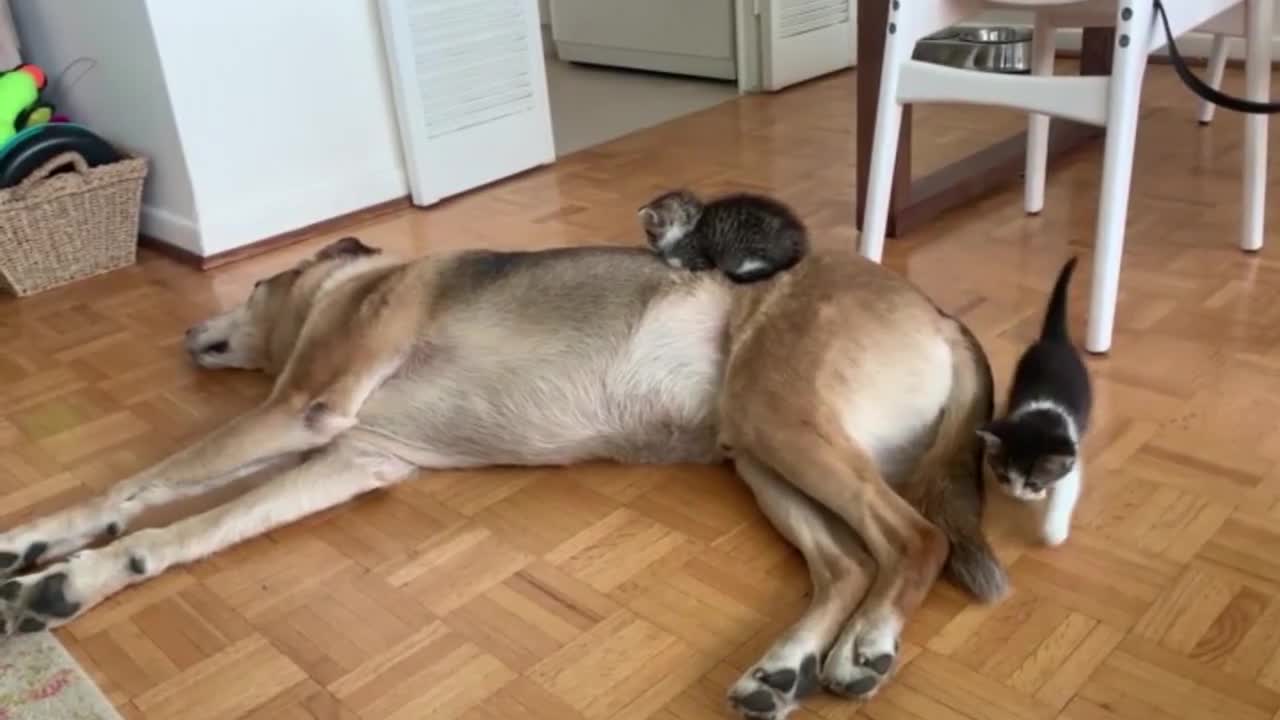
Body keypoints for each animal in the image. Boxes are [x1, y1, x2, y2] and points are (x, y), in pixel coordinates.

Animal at [0, 234, 998, 712]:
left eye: (250, 289)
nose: (186, 333)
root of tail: (937, 312)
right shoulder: (349, 457)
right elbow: (188, 524)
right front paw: (76, 573)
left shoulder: (302, 410)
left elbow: (144, 484)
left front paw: (44, 544)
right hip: (762, 454)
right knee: (848, 563)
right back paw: (785, 667)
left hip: (783, 425)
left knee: (915, 540)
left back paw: (866, 645)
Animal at [640, 189, 808, 281]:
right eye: (686, 211)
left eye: (650, 234)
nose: (699, 210)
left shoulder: (701, 261)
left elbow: (688, 267)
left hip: (749, 250)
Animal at [977, 257, 1090, 543]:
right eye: (1005, 476)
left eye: (1032, 482)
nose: (1018, 494)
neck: (1039, 419)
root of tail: (1054, 339)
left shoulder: (1070, 460)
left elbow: (1066, 489)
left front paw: (1053, 532)